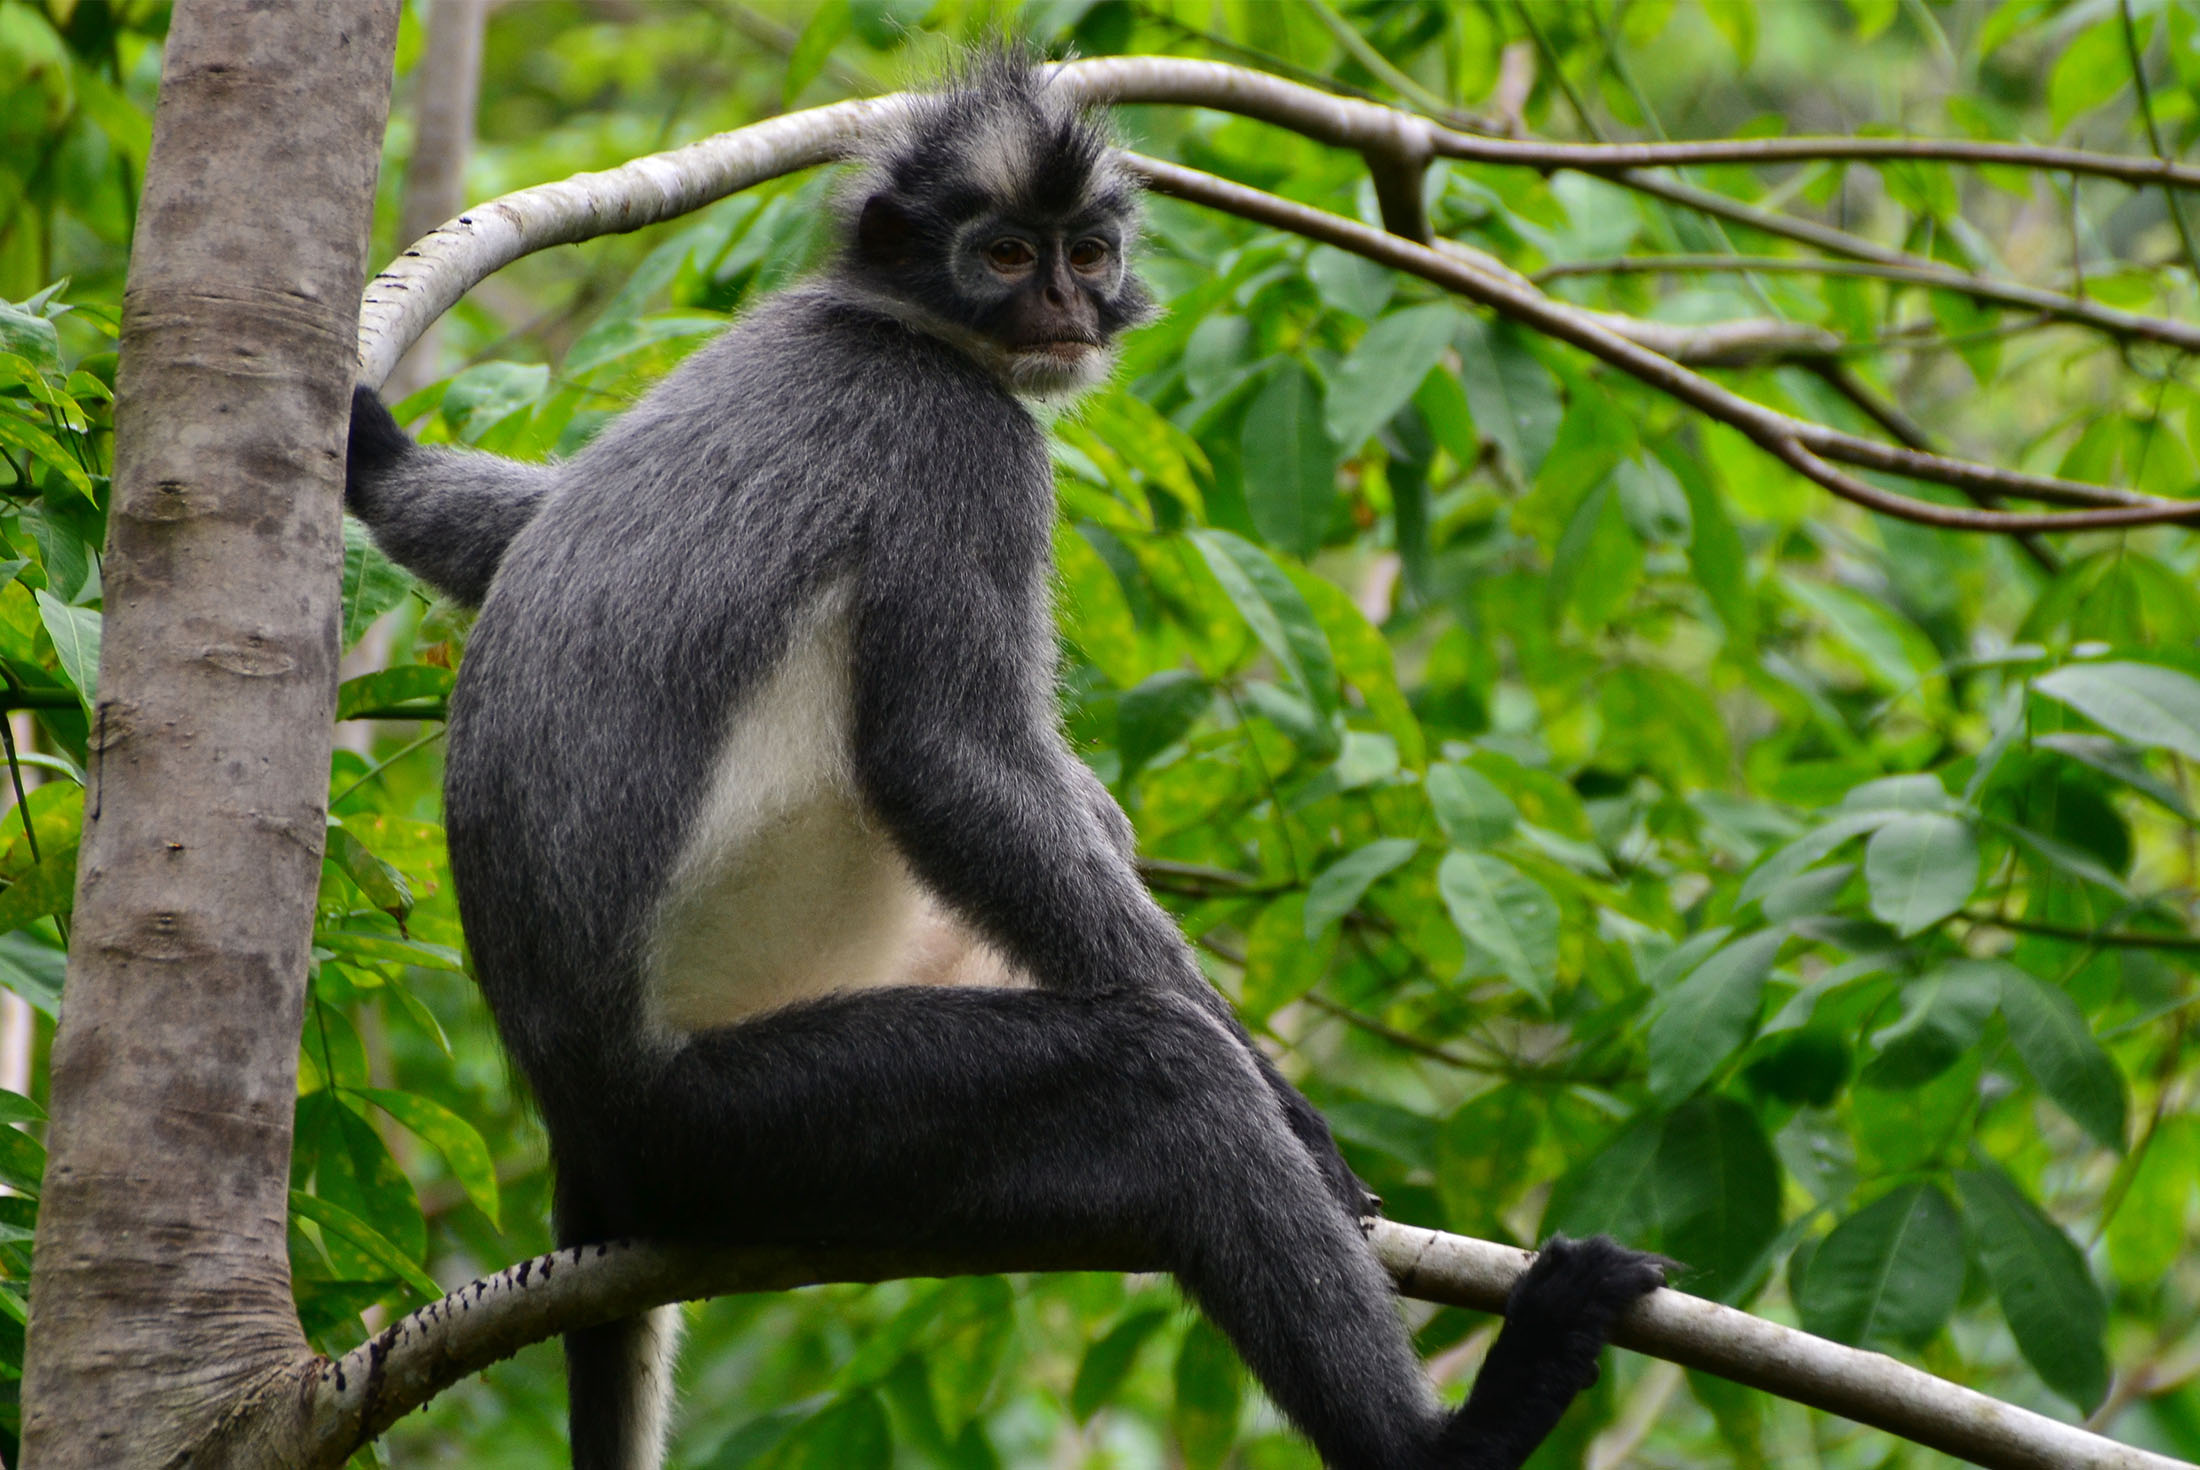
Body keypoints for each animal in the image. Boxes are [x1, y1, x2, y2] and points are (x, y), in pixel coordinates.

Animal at [343, 56, 1665, 1470]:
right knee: (1157, 1081)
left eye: (1086, 253)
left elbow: (526, 530)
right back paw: (1451, 1434)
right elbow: (947, 763)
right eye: (1005, 255)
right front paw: (1290, 1110)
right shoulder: (959, 444)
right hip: (747, 1123)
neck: (886, 328)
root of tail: (581, 1129)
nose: (1065, 308)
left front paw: (377, 456)